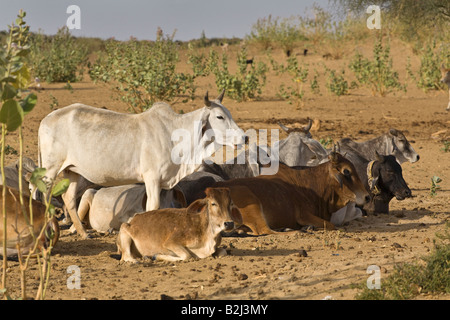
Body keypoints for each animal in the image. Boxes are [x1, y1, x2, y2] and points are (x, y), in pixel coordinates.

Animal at [214, 151, 370, 234]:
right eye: (346, 171)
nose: (367, 197)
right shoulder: (303, 214)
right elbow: (331, 225)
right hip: (253, 206)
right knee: (266, 231)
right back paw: (295, 231)